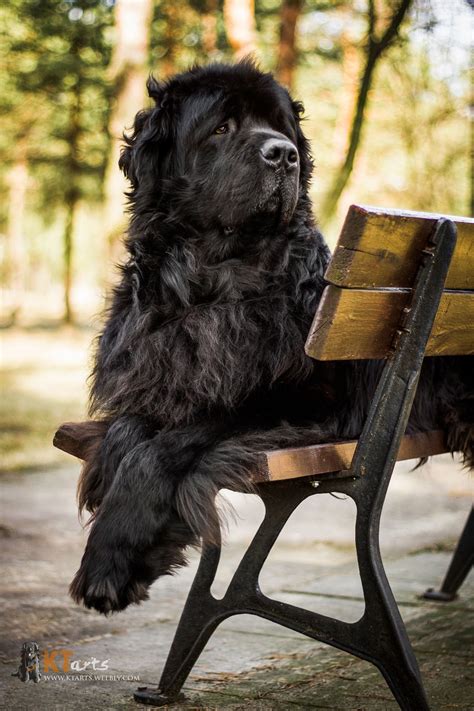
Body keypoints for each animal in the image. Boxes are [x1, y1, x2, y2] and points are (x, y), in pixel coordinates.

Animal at [68, 61, 472, 616]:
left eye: (280, 128)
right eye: (221, 127)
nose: (284, 154)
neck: (214, 286)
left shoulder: (302, 403)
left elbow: (165, 445)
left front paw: (110, 561)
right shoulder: (162, 377)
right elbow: (129, 429)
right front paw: (109, 485)